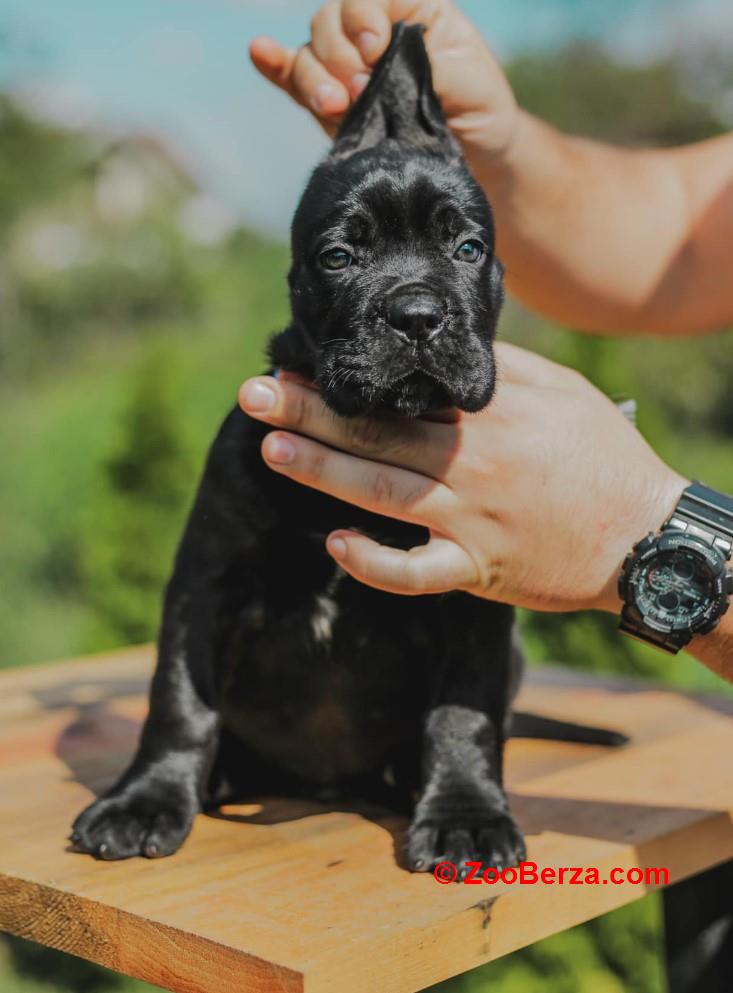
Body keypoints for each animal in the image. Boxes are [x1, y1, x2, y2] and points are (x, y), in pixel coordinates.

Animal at [68, 23, 620, 872]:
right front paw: (146, 798)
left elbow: (464, 714)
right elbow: (179, 701)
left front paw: (465, 811)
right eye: (338, 257)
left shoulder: (473, 601)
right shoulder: (205, 583)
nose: (418, 315)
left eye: (467, 249)